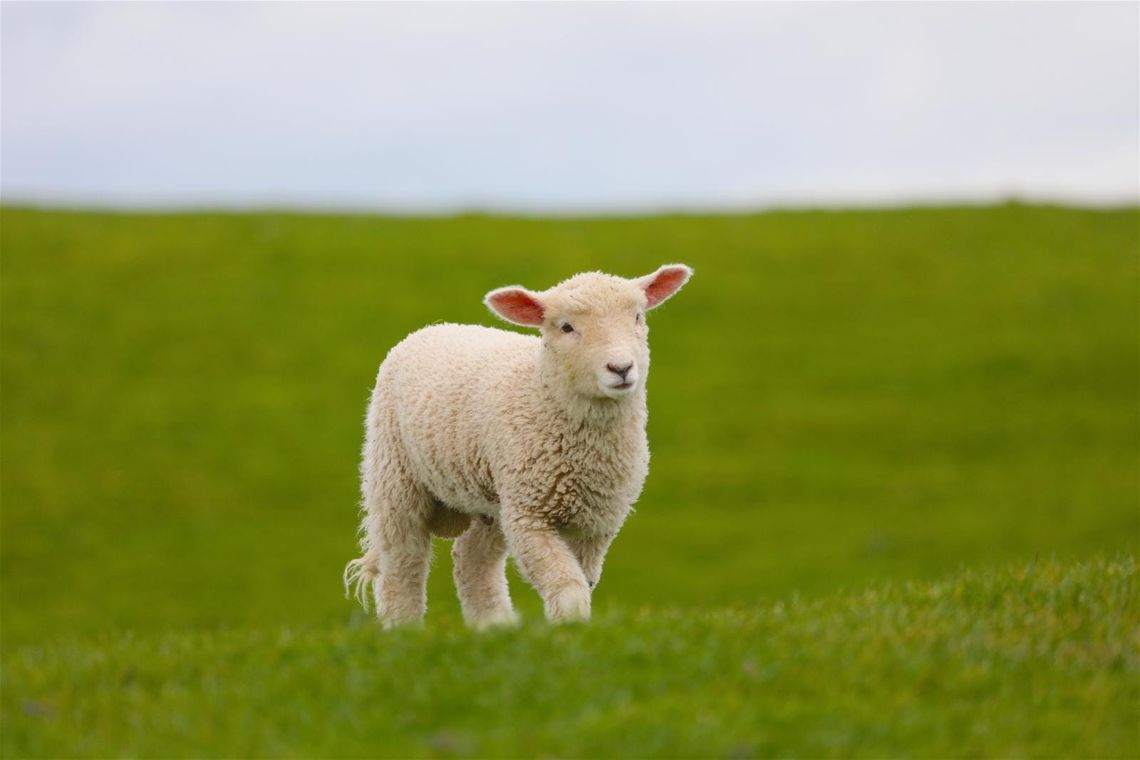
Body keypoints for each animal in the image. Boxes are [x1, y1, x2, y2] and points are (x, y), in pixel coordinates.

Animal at [344, 264, 692, 628]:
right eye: (566, 327)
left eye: (637, 317)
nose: (621, 368)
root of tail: (435, 327)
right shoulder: (530, 515)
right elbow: (566, 585)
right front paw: (568, 627)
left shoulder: (595, 522)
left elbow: (582, 579)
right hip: (394, 472)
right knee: (403, 561)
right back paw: (404, 627)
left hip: (493, 498)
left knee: (472, 561)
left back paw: (495, 627)